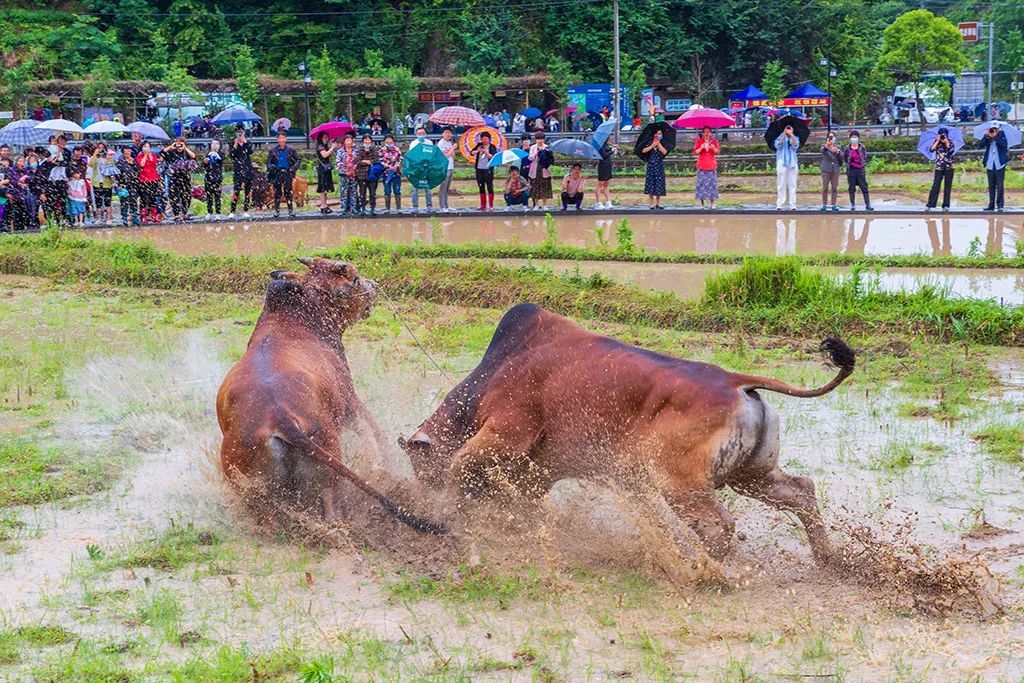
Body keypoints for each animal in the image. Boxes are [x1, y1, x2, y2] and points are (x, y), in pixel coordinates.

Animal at [220, 255, 444, 532]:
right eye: (355, 278)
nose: (373, 285)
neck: (300, 318)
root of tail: (279, 416)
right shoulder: (351, 404)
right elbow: (375, 433)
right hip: (329, 468)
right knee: (331, 509)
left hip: (254, 492)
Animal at [401, 307, 856, 565]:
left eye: (420, 465)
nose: (421, 493)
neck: (497, 369)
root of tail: (734, 381)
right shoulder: (538, 471)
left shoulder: (503, 434)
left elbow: (460, 466)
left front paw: (447, 516)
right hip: (752, 476)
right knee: (801, 492)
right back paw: (829, 557)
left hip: (680, 484)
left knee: (719, 525)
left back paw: (707, 572)